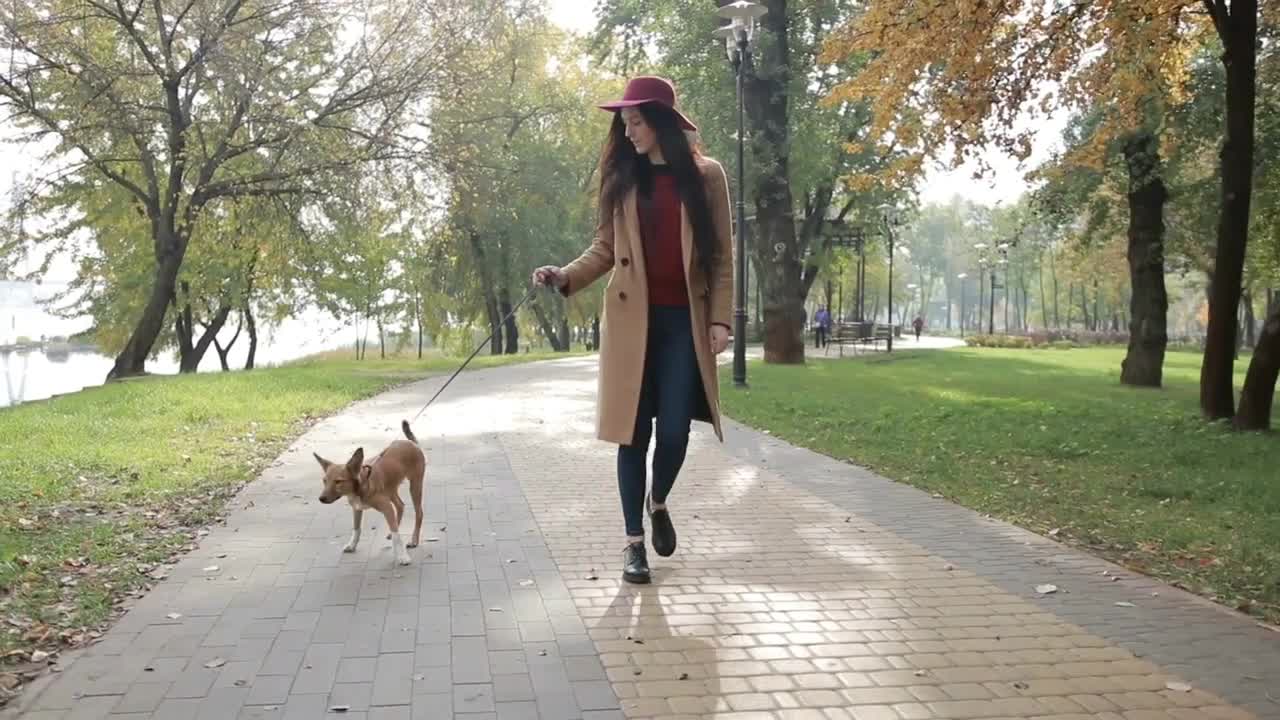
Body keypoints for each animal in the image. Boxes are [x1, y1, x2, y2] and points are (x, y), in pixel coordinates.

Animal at [316, 417, 427, 563]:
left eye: (338, 481)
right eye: (324, 481)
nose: (321, 499)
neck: (362, 485)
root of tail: (411, 443)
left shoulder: (386, 507)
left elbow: (397, 535)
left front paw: (402, 556)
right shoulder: (357, 508)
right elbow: (356, 529)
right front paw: (352, 545)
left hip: (415, 485)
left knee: (418, 513)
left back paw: (414, 540)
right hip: (390, 488)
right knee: (400, 506)